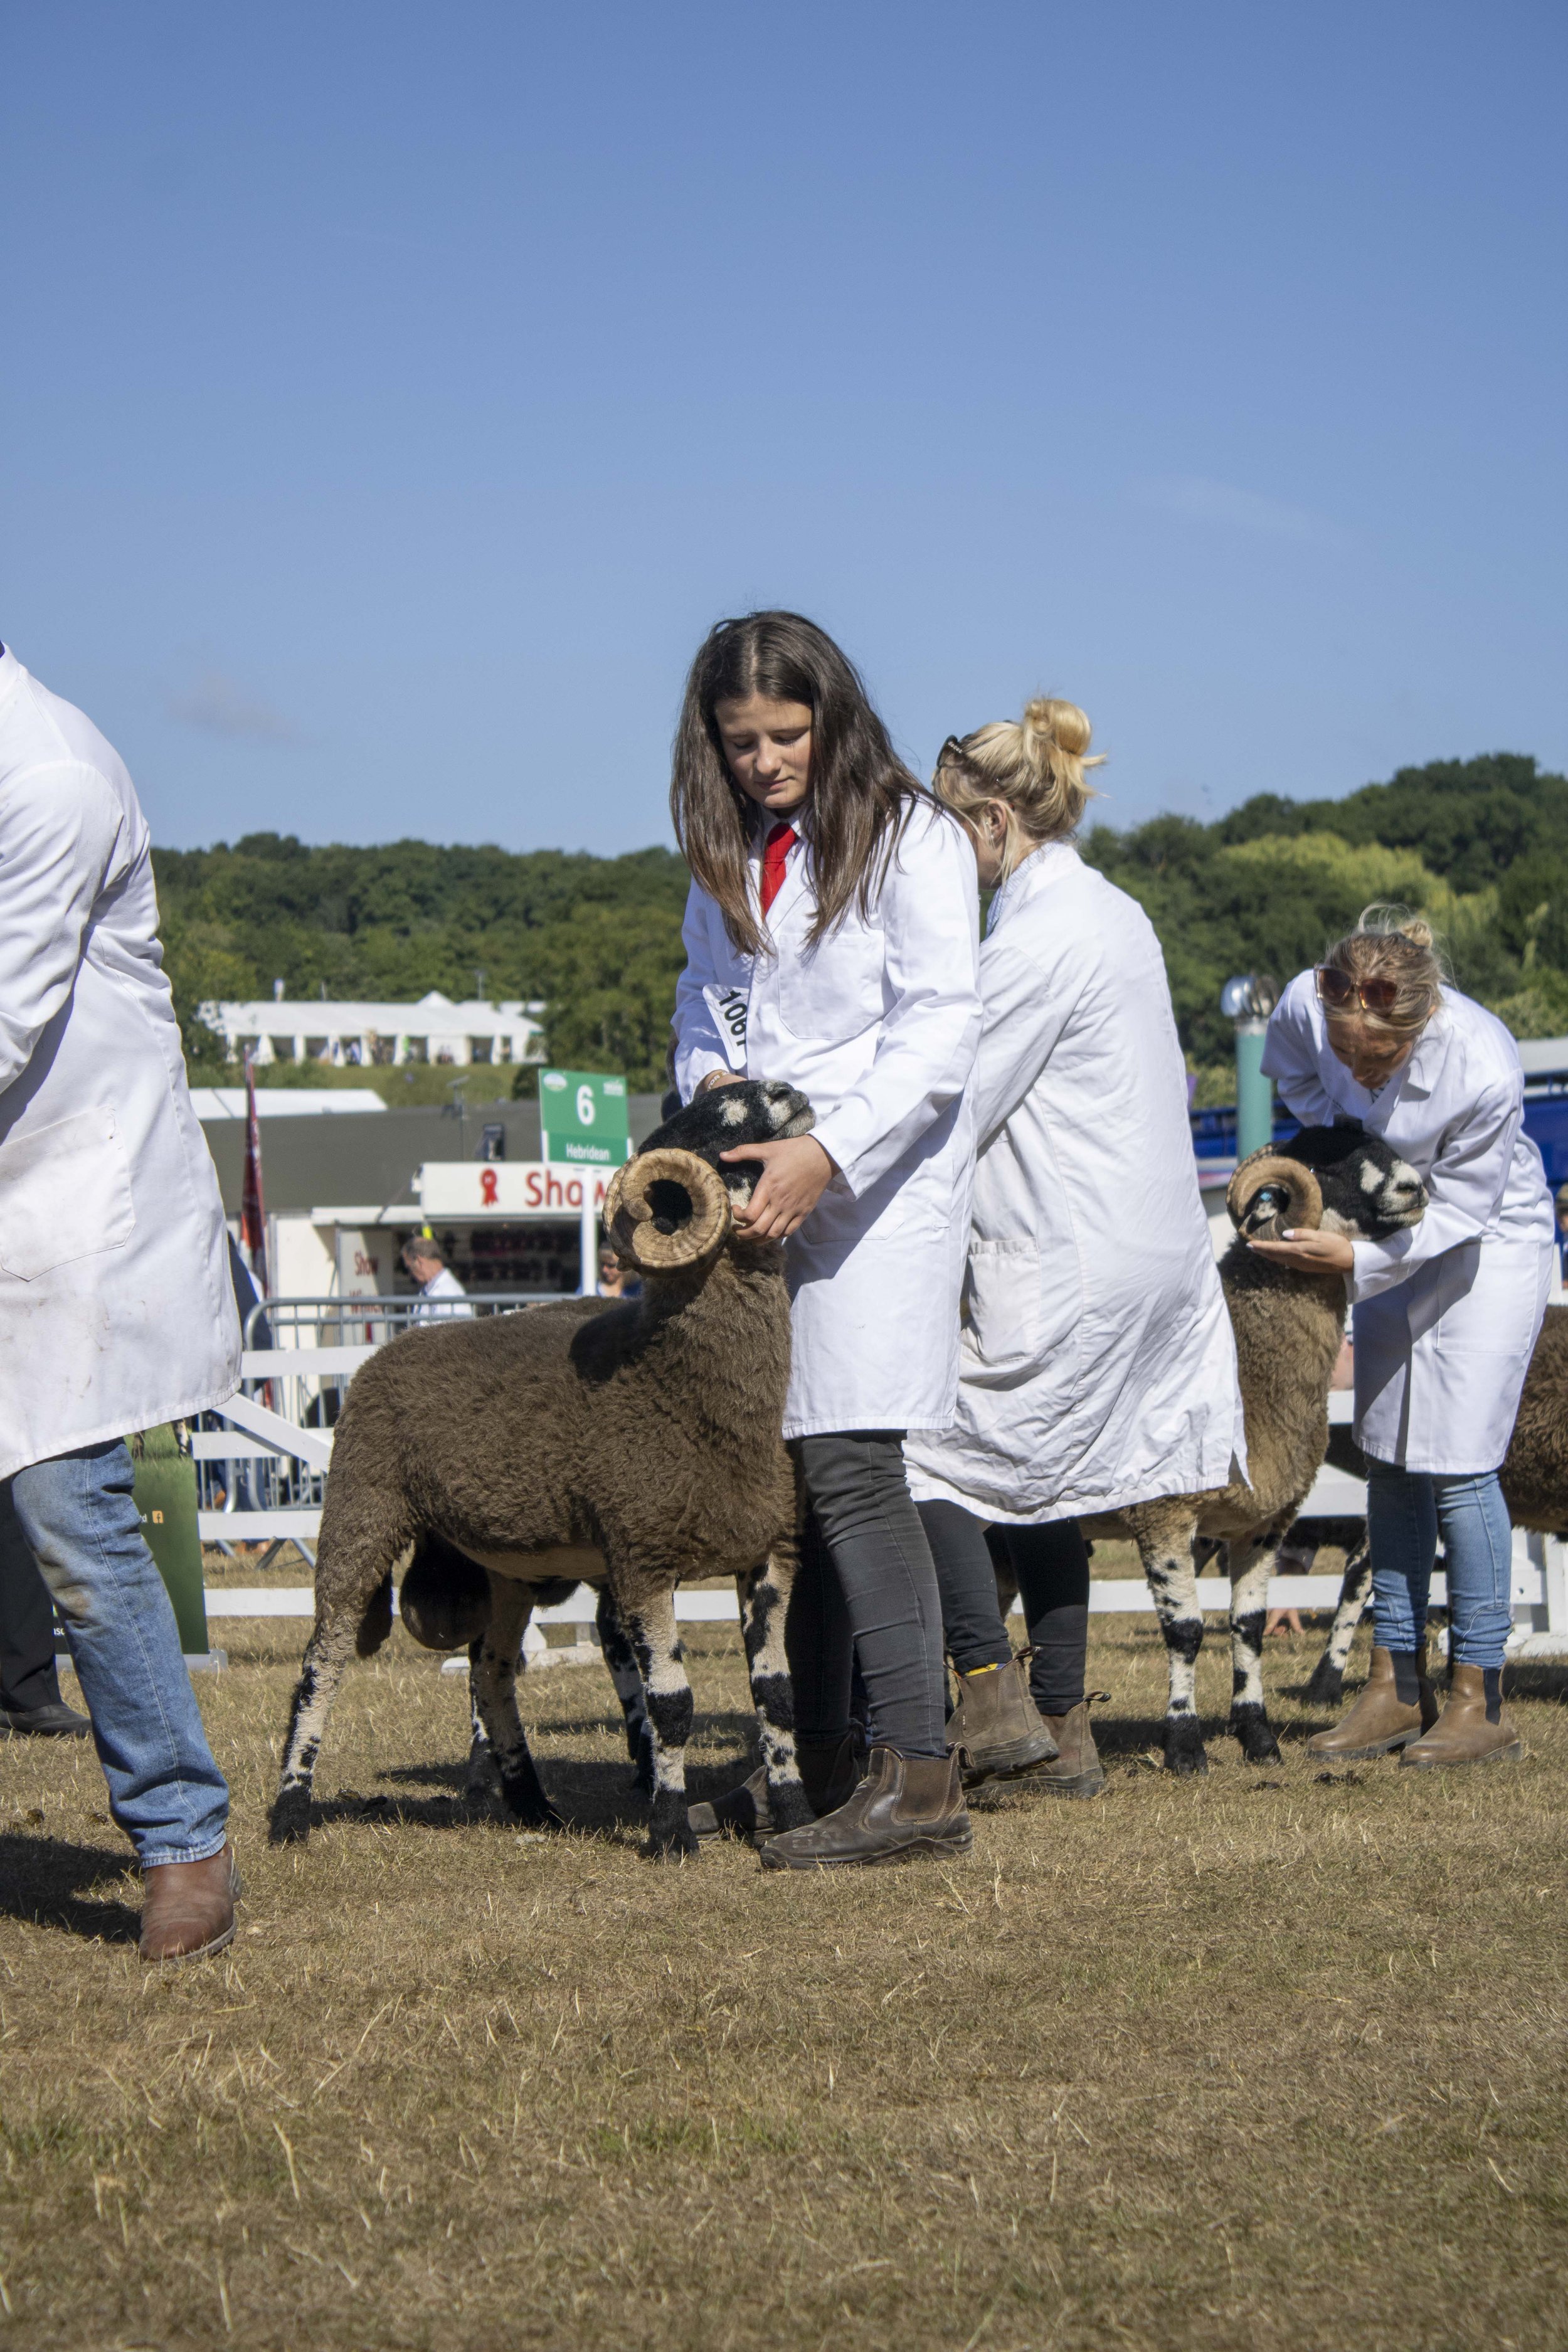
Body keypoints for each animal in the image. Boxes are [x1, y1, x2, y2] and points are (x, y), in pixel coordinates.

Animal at [268, 1079, 821, 1858]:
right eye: (712, 1131)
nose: (787, 1091)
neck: (672, 1378)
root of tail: (388, 1347)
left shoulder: (768, 1554)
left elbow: (777, 1695)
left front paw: (797, 1819)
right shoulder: (641, 1557)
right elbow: (671, 1705)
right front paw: (669, 1831)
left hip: (504, 1568)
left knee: (491, 1674)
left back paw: (531, 1803)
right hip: (361, 1509)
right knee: (322, 1665)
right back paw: (290, 1811)